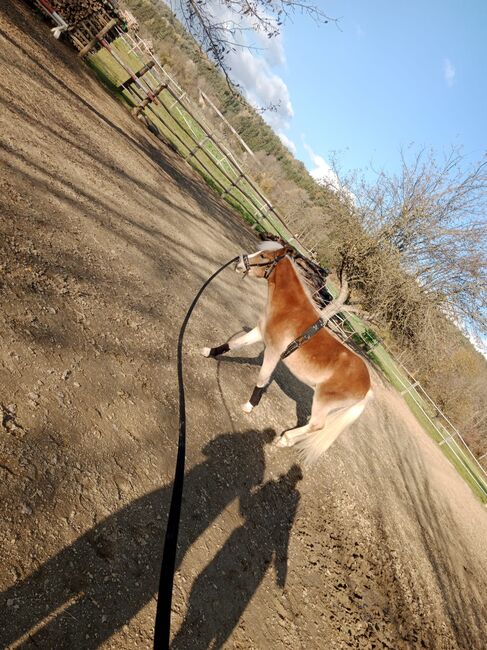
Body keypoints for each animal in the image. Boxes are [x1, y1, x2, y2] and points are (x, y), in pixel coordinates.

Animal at [200, 240, 372, 464]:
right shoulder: (259, 333)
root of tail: (368, 387)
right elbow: (234, 344)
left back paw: (285, 439)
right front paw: (210, 352)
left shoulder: (273, 352)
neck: (290, 310)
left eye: (263, 256)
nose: (239, 262)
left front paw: (249, 406)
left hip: (323, 401)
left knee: (317, 425)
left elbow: (262, 378)